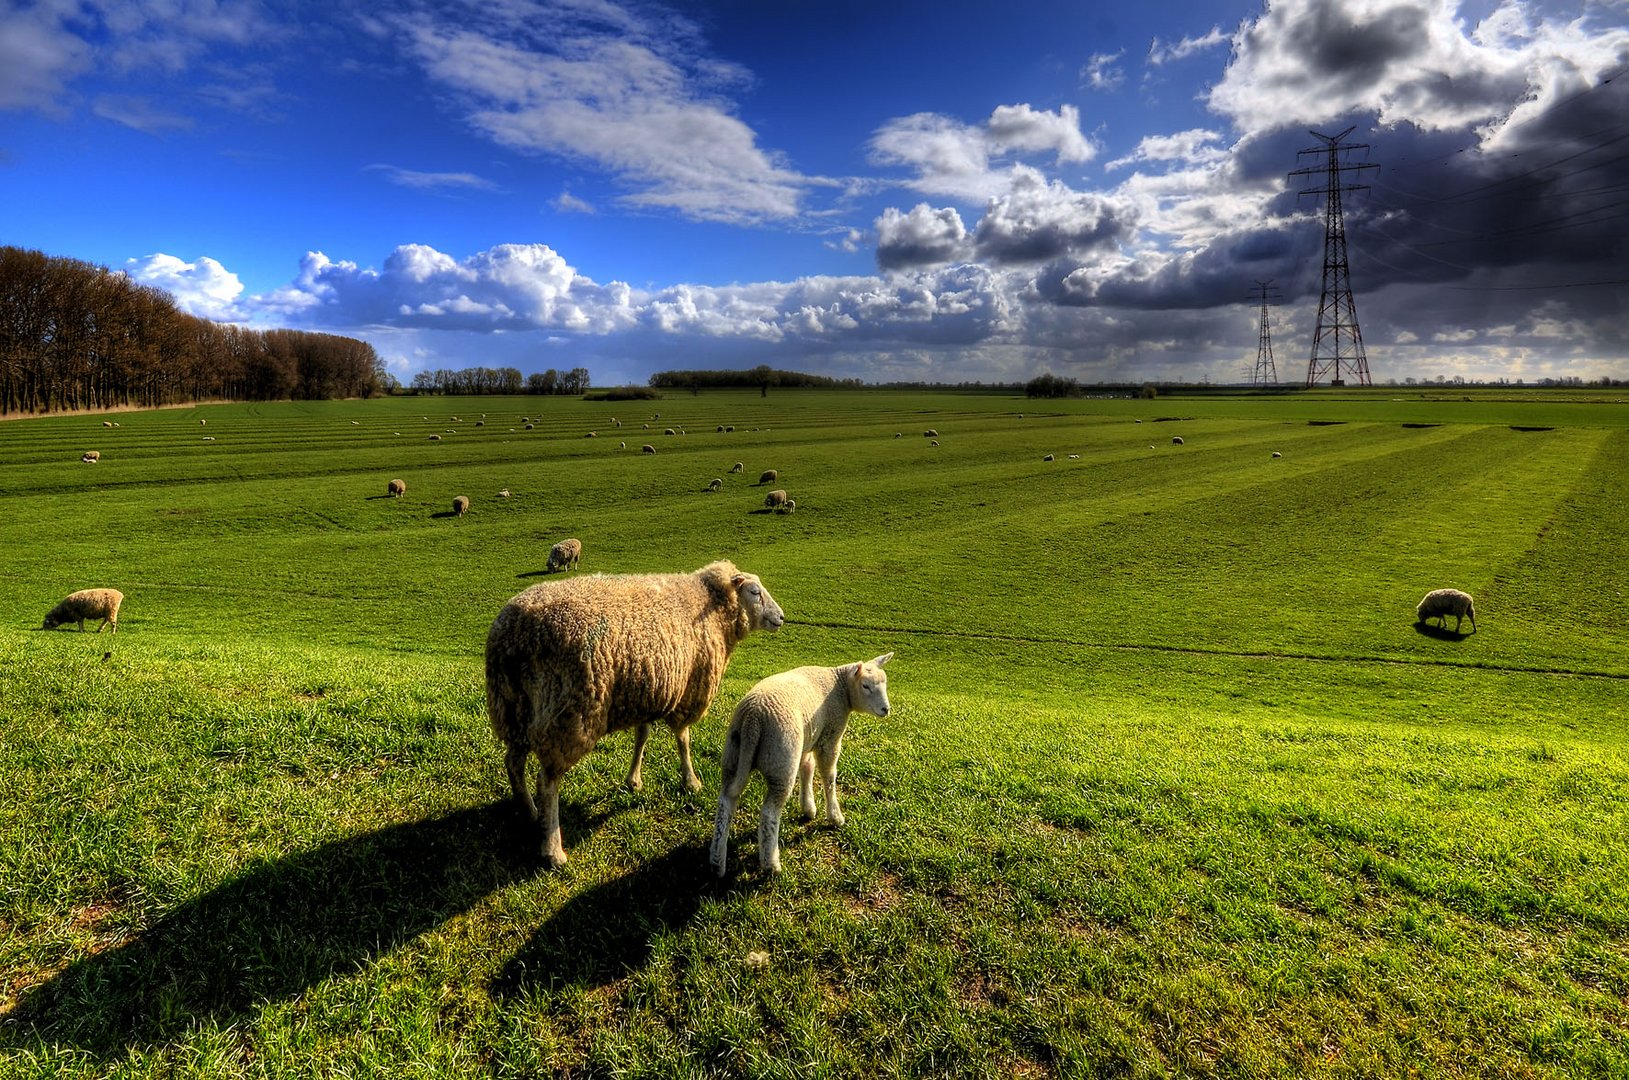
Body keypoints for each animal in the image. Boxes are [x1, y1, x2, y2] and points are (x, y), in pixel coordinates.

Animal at [485, 560, 785, 866]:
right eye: (755, 591)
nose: (781, 618)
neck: (710, 603)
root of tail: (515, 634)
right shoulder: (687, 692)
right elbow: (683, 739)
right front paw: (691, 781)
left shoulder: (648, 694)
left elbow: (642, 736)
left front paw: (633, 780)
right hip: (567, 713)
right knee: (547, 781)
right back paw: (552, 848)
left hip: (512, 707)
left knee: (513, 762)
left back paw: (529, 811)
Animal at [710, 651, 892, 879]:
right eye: (866, 686)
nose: (886, 709)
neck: (841, 687)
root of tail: (753, 718)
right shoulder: (829, 737)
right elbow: (828, 776)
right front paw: (835, 817)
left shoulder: (808, 737)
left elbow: (807, 768)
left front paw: (808, 808)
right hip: (782, 761)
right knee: (769, 813)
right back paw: (771, 864)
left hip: (733, 755)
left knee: (725, 802)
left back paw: (717, 861)